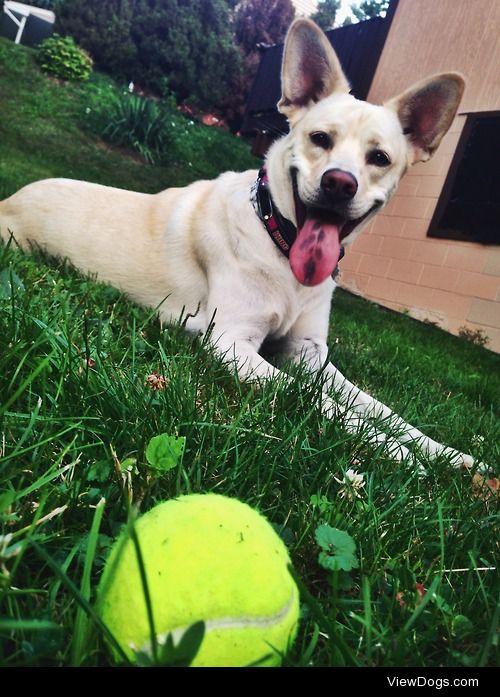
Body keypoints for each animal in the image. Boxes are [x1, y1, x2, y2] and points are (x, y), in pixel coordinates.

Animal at [0, 19, 476, 470]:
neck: (280, 244)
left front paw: (448, 455)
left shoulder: (310, 354)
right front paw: (398, 453)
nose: (339, 183)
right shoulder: (231, 343)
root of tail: (13, 197)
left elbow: (382, 408)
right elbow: (324, 404)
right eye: (320, 139)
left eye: (379, 158)